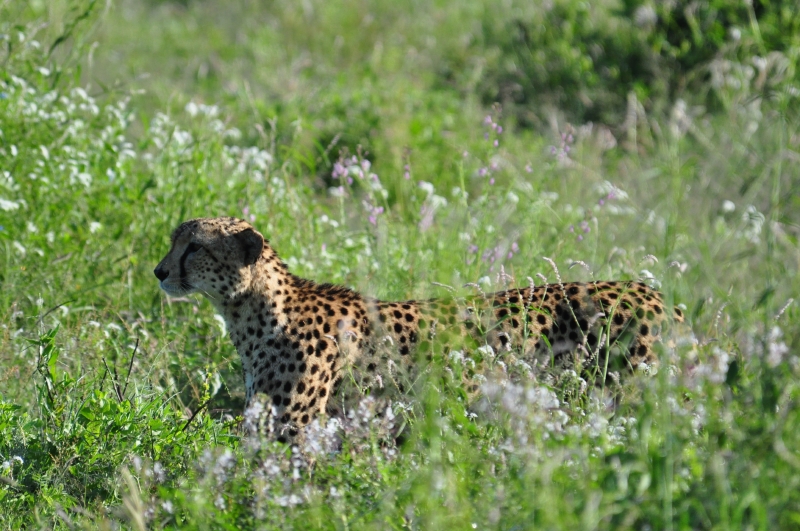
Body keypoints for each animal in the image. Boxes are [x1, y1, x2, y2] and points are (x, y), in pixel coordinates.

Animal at [154, 217, 685, 441]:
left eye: (194, 246)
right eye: (174, 240)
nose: (159, 272)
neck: (251, 310)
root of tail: (651, 291)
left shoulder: (291, 429)